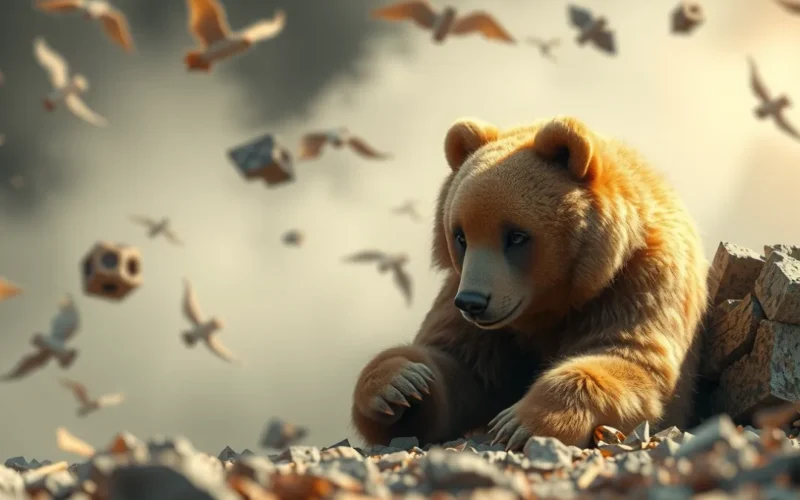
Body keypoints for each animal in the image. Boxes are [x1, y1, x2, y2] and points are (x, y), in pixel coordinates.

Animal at [350, 115, 709, 450]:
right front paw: (400, 384)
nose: (473, 302)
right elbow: (460, 366)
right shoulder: (468, 300)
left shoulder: (638, 282)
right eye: (460, 235)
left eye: (516, 235)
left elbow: (628, 358)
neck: (552, 304)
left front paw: (519, 422)